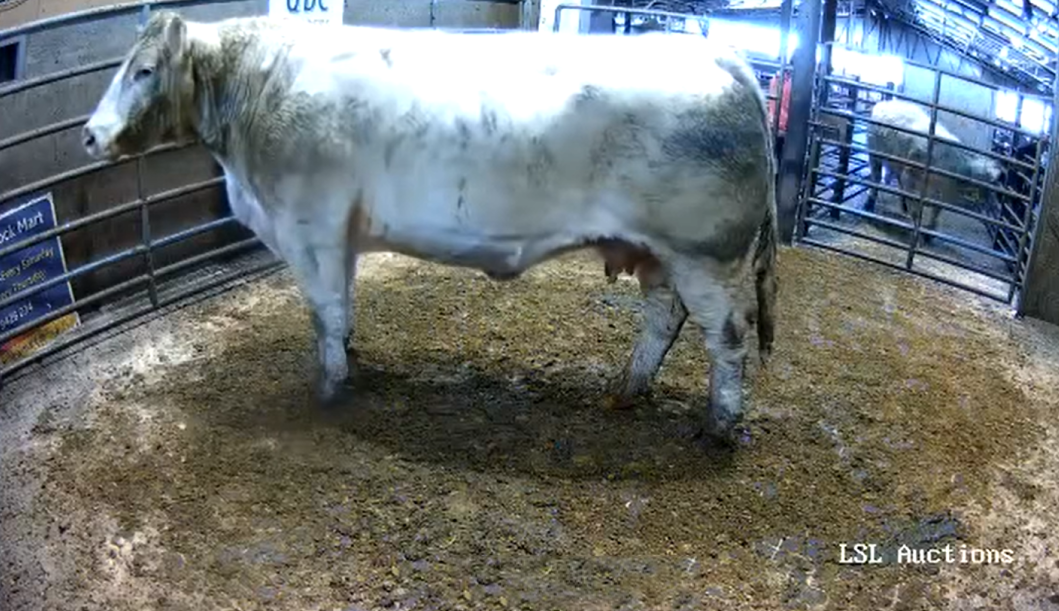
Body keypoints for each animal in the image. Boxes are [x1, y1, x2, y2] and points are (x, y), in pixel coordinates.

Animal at [81, 11, 778, 444]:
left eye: (144, 70)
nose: (89, 134)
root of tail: (718, 52)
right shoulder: (340, 233)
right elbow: (343, 305)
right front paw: (350, 355)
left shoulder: (309, 226)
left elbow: (323, 313)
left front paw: (328, 387)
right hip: (660, 253)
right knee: (663, 320)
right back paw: (626, 391)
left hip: (706, 253)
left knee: (728, 337)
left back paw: (718, 428)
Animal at [865, 98, 1004, 243]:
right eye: (994, 189)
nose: (998, 208)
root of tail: (884, 103)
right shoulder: (910, 174)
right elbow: (915, 209)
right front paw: (918, 235)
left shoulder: (942, 195)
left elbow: (936, 212)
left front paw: (929, 235)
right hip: (873, 151)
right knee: (876, 178)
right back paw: (868, 206)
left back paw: (902, 207)